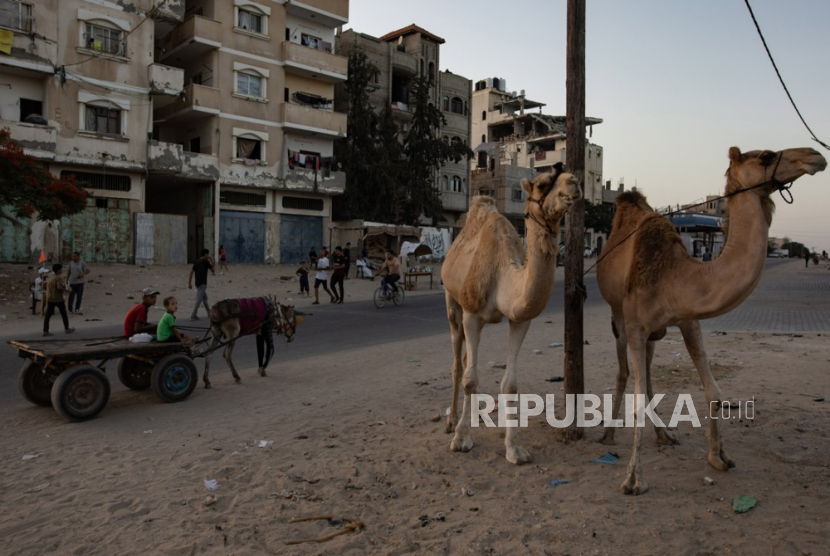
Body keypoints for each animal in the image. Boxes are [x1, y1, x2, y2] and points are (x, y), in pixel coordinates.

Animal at [442, 164, 584, 464]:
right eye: (542, 183)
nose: (574, 182)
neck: (502, 278)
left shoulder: (519, 320)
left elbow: (510, 384)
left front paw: (514, 448)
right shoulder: (472, 314)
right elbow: (470, 379)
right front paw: (461, 439)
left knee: (466, 361)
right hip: (452, 300)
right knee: (458, 364)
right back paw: (451, 422)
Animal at [600, 148, 828, 496]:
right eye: (766, 156)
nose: (814, 155)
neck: (674, 274)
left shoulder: (688, 320)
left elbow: (714, 391)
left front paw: (718, 457)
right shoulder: (636, 323)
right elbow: (636, 396)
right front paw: (634, 479)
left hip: (654, 332)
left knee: (648, 376)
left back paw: (664, 435)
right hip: (619, 316)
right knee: (625, 372)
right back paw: (609, 434)